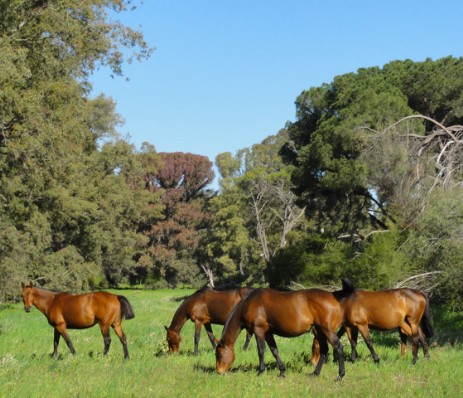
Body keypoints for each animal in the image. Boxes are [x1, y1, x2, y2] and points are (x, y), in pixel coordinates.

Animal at [217, 282, 356, 380]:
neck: (250, 303)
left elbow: (261, 350)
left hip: (327, 330)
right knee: (324, 351)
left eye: (218, 354)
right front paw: (282, 371)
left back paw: (340, 375)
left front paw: (260, 371)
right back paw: (315, 373)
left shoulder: (259, 330)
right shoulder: (268, 332)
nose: (219, 372)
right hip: (320, 331)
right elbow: (274, 350)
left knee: (338, 347)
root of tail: (334, 295)